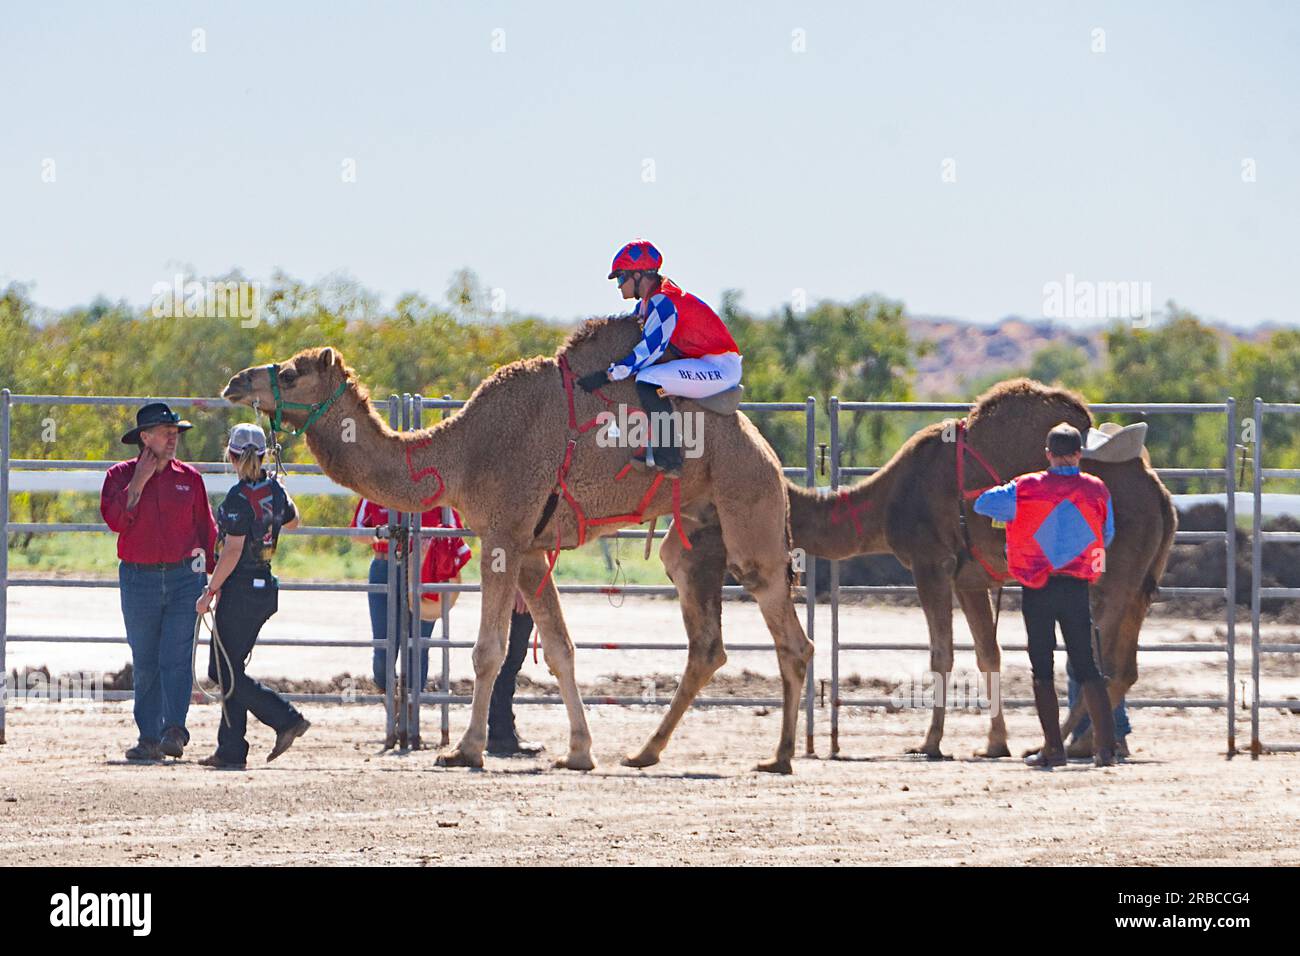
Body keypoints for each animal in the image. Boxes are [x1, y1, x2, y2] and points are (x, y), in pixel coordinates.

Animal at [221, 326, 813, 773]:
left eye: (291, 373)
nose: (234, 381)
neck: (459, 454)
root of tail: (765, 447)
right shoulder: (530, 549)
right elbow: (559, 649)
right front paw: (579, 753)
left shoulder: (502, 534)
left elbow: (488, 650)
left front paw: (465, 751)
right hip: (695, 533)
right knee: (706, 641)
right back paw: (645, 752)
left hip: (748, 502)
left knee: (789, 633)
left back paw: (780, 757)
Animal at [779, 379, 1177, 758]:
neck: (888, 498)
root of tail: (1161, 495)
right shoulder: (968, 580)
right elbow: (989, 655)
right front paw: (995, 743)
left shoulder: (931, 563)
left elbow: (941, 655)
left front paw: (930, 743)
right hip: (1141, 577)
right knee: (1124, 667)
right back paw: (1080, 743)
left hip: (1113, 574)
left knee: (1099, 661)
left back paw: (1062, 743)